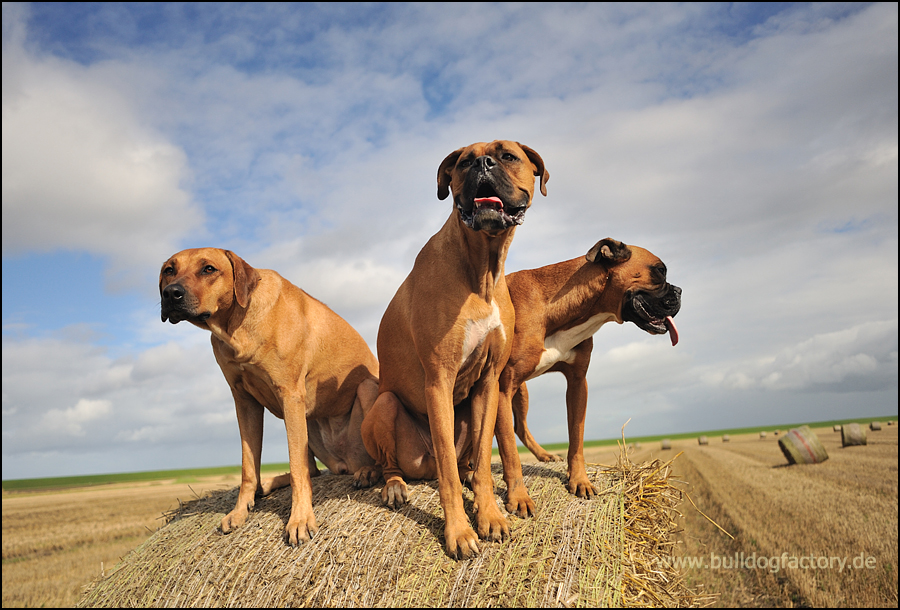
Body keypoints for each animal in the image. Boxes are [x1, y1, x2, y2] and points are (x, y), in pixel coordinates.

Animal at [162, 249, 380, 544]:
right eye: (169, 271)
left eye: (208, 269)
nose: (171, 293)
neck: (235, 326)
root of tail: (346, 462)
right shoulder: (244, 401)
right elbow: (248, 466)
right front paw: (241, 510)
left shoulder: (290, 393)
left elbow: (298, 468)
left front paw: (300, 519)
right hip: (306, 421)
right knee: (313, 470)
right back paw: (266, 485)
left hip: (365, 390)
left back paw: (369, 472)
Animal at [360, 140, 548, 560]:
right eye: (463, 162)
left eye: (508, 156)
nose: (484, 163)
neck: (481, 270)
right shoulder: (438, 381)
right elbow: (447, 467)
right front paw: (459, 531)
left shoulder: (489, 382)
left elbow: (484, 463)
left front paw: (490, 514)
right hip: (386, 405)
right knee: (396, 463)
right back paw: (392, 485)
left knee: (468, 461)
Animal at [492, 235, 684, 496]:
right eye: (659, 271)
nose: (680, 291)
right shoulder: (503, 387)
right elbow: (509, 451)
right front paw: (517, 497)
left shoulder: (577, 383)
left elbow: (576, 437)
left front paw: (579, 480)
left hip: (521, 392)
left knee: (518, 428)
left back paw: (543, 456)